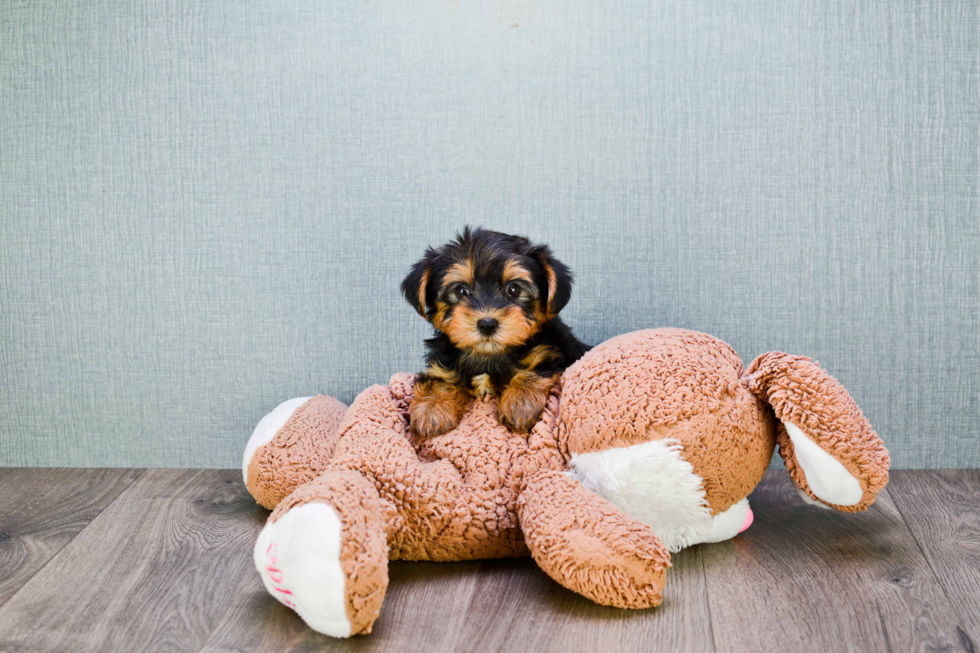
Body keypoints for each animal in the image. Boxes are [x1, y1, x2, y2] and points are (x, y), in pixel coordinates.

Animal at [400, 227, 588, 436]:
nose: (487, 324)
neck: (489, 355)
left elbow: (535, 370)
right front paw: (432, 407)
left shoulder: (552, 353)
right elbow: (439, 379)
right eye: (461, 291)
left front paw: (519, 402)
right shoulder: (443, 363)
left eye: (513, 289)